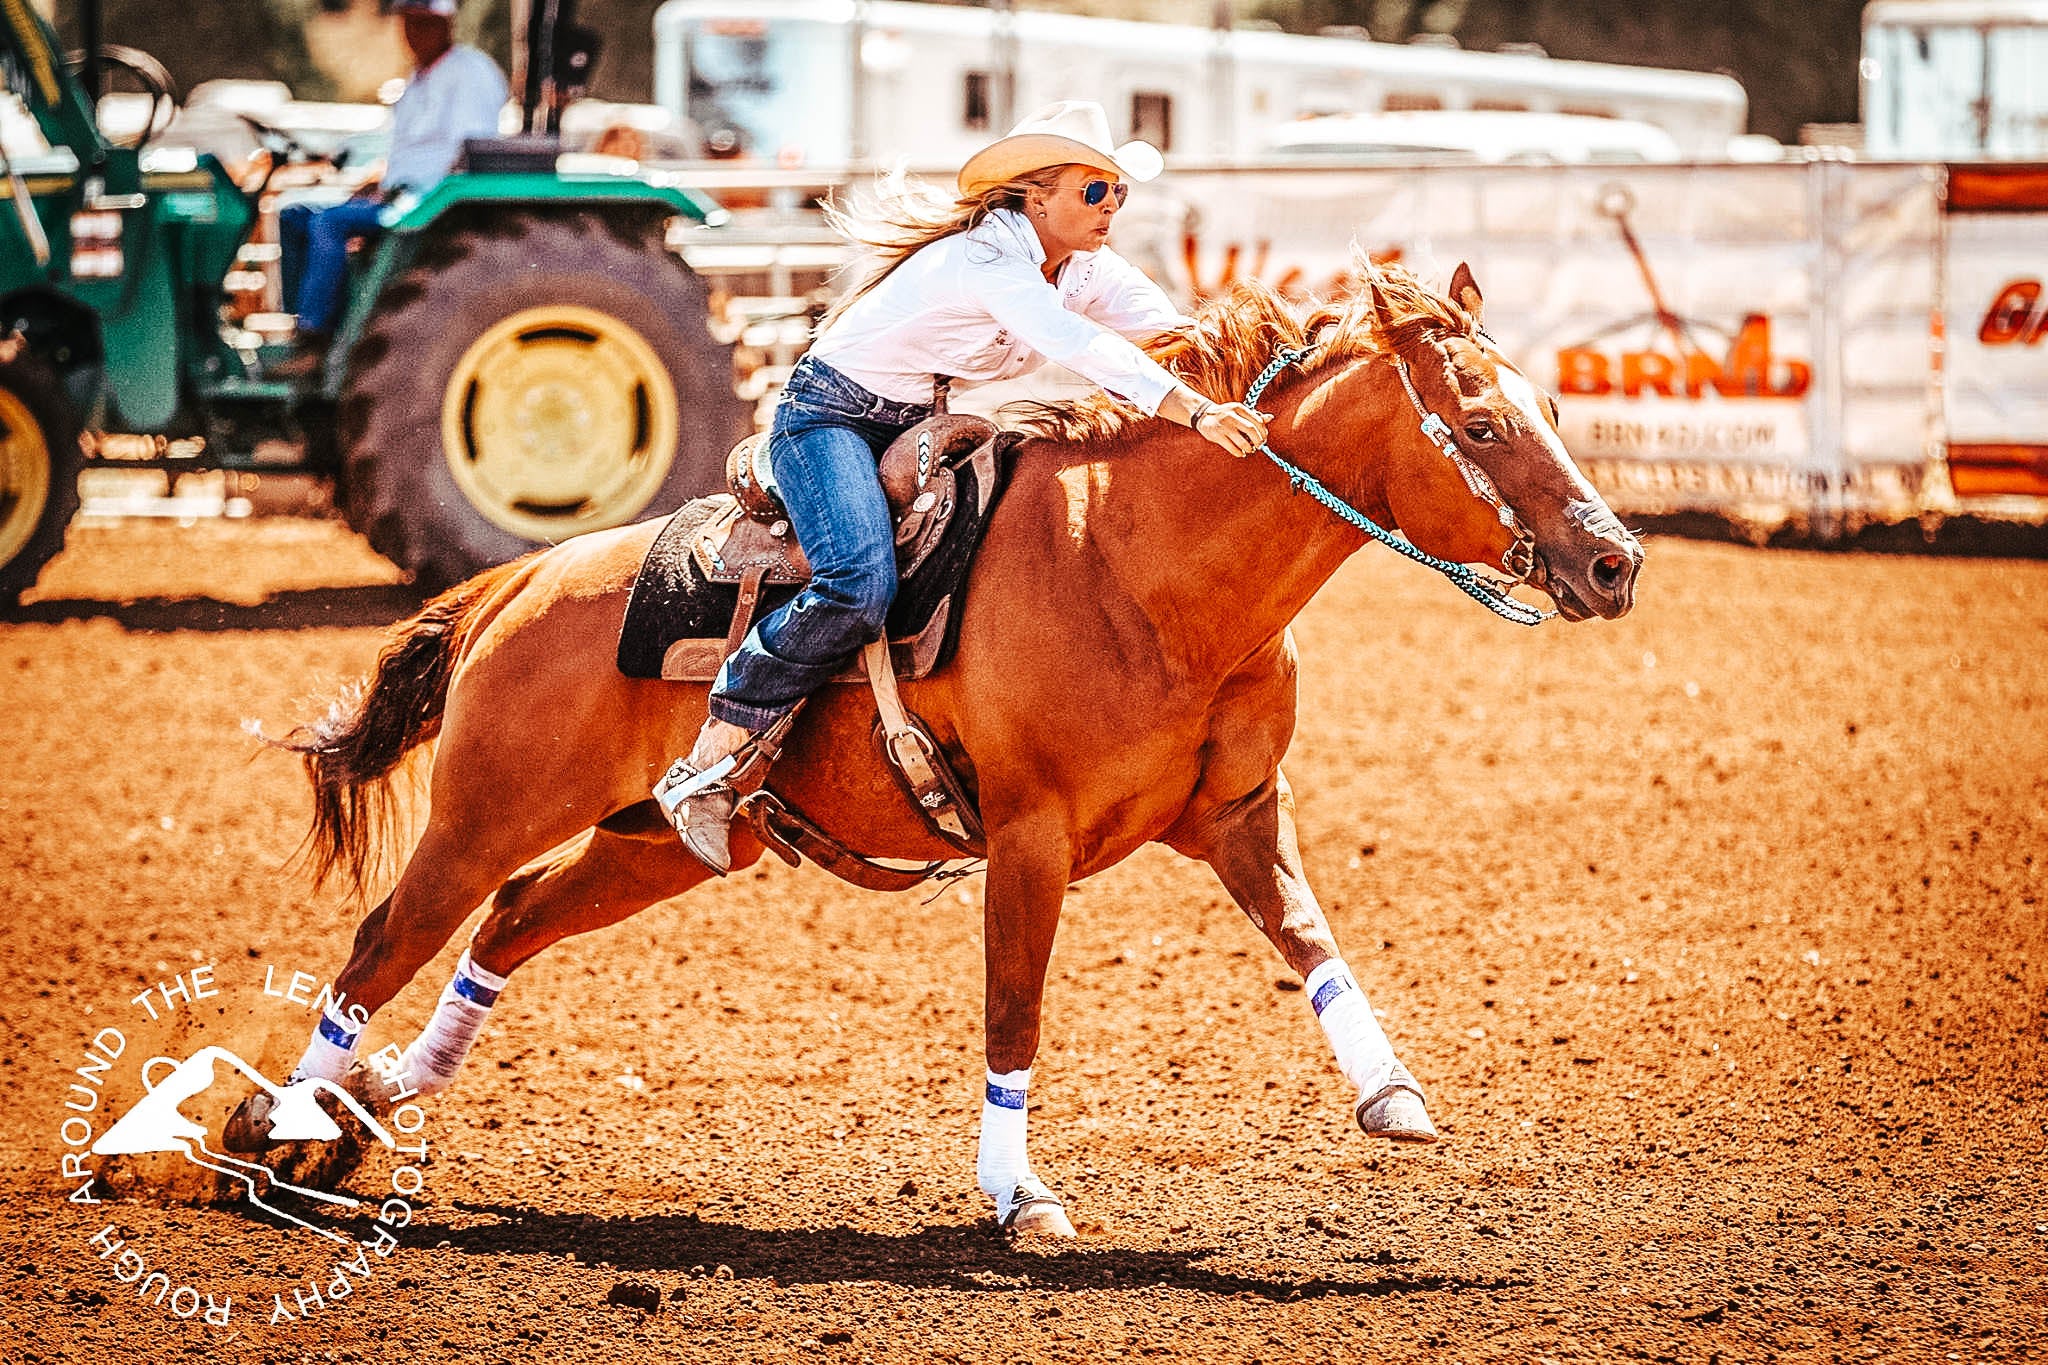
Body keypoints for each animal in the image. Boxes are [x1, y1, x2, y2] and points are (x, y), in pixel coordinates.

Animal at [226, 263, 1642, 1236]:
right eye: (1477, 423)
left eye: (1548, 400)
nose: (1613, 563)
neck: (1140, 573)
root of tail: (517, 584)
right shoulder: (1030, 837)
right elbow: (1014, 1009)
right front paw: (1019, 1196)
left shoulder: (1239, 813)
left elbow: (1310, 940)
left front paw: (1391, 1094)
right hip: (484, 812)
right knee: (383, 942)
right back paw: (279, 1127)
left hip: (668, 846)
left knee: (512, 921)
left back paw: (380, 1103)